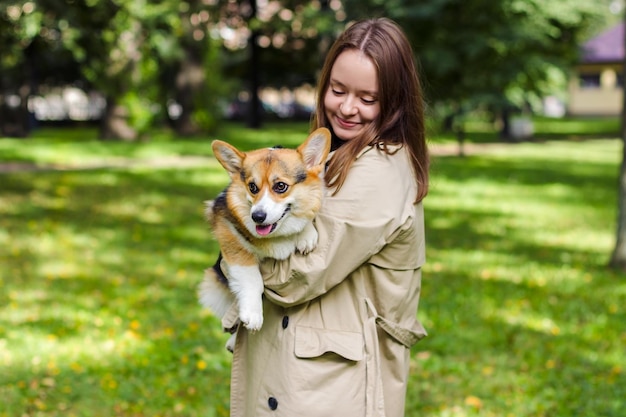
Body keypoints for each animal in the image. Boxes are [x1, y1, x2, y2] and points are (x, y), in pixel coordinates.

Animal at [199, 128, 332, 342]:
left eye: (280, 186)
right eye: (252, 187)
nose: (257, 217)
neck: (277, 234)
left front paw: (306, 234)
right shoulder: (231, 239)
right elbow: (253, 278)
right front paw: (253, 314)